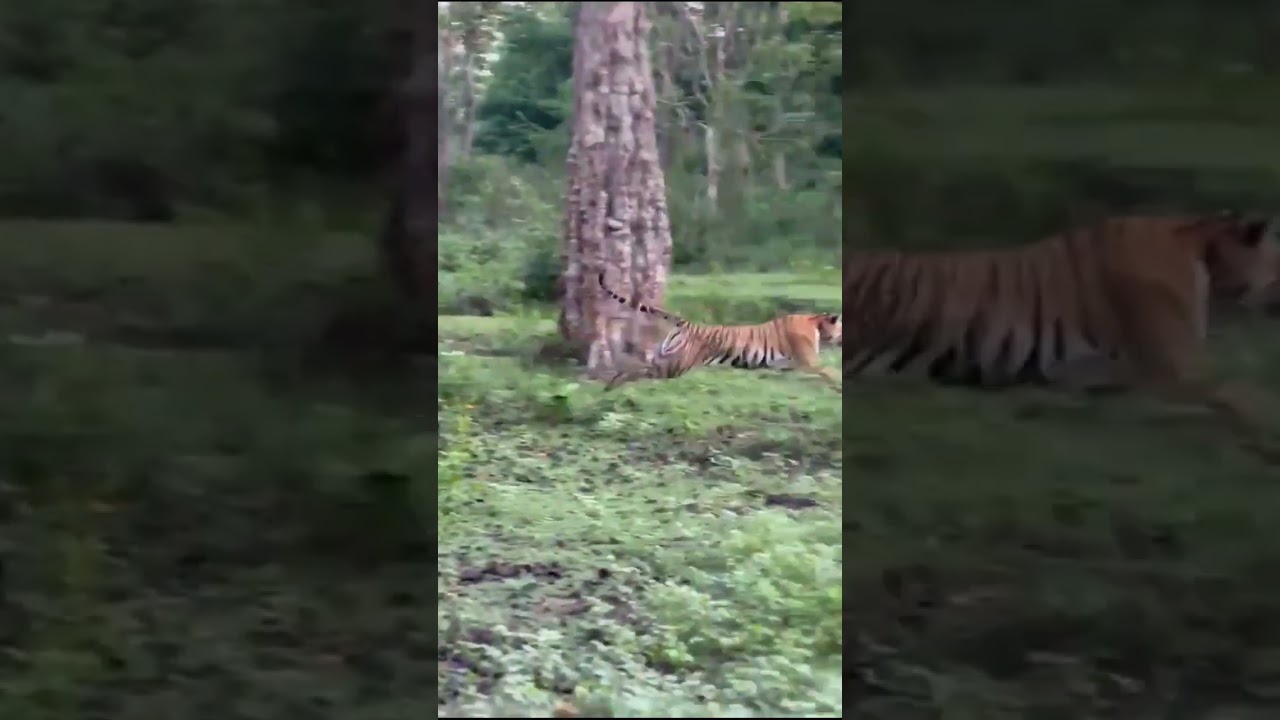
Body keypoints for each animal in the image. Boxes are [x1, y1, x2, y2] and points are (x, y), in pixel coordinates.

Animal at [596, 272, 843, 392]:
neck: (817, 323)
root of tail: (687, 324)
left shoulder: (788, 365)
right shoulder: (809, 361)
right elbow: (830, 371)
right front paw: (839, 384)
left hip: (666, 357)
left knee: (637, 367)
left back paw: (609, 386)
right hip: (675, 366)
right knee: (640, 371)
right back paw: (613, 385)